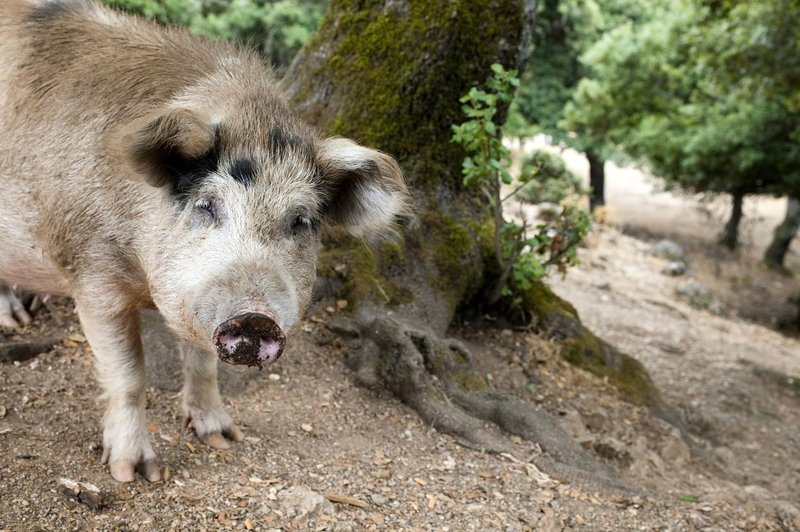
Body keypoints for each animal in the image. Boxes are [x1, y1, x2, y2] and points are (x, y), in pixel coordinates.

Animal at [0, 0, 410, 482]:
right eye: (207, 205)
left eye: (301, 220)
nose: (255, 318)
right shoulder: (90, 270)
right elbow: (128, 375)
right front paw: (136, 473)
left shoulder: (198, 303)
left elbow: (202, 363)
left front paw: (223, 438)